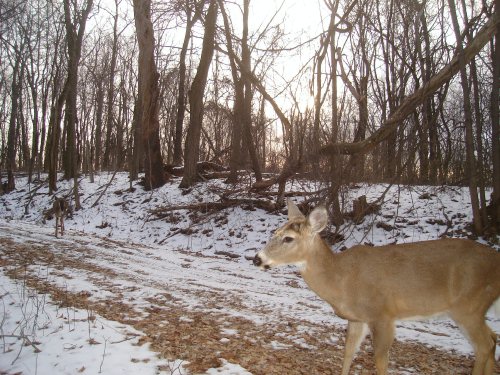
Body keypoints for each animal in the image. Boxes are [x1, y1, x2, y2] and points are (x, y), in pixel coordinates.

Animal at [254, 201, 500, 375]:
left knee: (484, 345)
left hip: (468, 305)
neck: (341, 279)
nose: (257, 259)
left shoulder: (383, 315)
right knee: (492, 339)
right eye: (274, 233)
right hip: (475, 309)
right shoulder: (357, 318)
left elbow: (380, 363)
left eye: (288, 239)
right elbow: (348, 353)